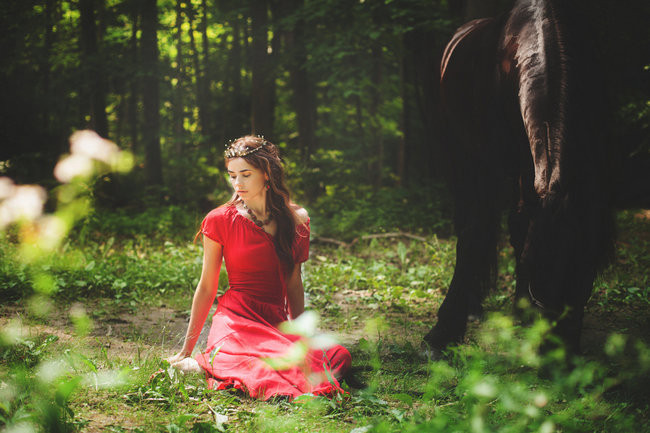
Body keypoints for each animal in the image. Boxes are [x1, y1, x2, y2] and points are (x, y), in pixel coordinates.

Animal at [422, 0, 616, 354]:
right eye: (536, 265)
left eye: (585, 270)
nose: (558, 352)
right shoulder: (497, 163)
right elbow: (483, 232)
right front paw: (444, 329)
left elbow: (520, 226)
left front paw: (520, 309)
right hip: (461, 159)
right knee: (470, 221)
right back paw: (471, 307)